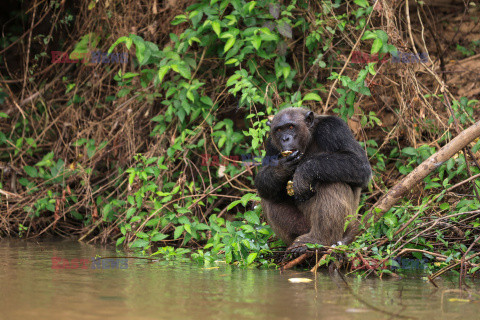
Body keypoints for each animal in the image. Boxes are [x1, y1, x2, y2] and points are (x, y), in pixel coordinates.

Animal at [255, 107, 372, 255]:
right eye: (279, 130)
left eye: (291, 127)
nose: (285, 138)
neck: (308, 139)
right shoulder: (271, 143)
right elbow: (262, 178)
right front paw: (282, 167)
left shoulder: (334, 128)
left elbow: (358, 163)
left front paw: (303, 172)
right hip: (302, 225)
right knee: (268, 197)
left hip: (348, 225)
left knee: (331, 184)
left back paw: (318, 240)